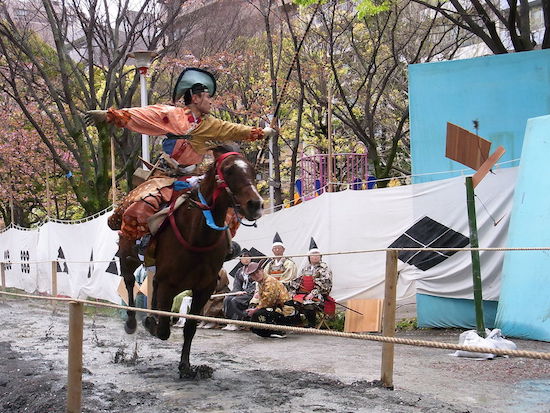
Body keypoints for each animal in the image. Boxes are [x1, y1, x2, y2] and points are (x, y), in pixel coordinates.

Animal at [116, 145, 264, 376]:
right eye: (228, 170)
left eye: (252, 169)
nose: (255, 204)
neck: (198, 236)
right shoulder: (169, 284)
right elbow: (164, 329)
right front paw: (150, 323)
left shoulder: (204, 288)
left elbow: (190, 327)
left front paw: (186, 366)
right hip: (128, 254)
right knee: (130, 281)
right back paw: (132, 322)